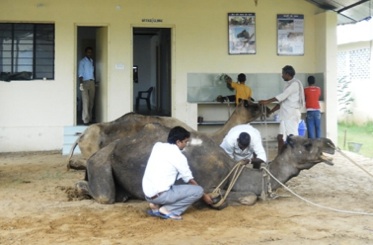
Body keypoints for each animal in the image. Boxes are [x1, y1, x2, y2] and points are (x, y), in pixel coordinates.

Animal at [75, 122, 334, 207]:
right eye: (307, 143)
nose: (330, 143)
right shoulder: (209, 185)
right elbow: (249, 197)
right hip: (100, 160)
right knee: (105, 195)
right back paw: (78, 188)